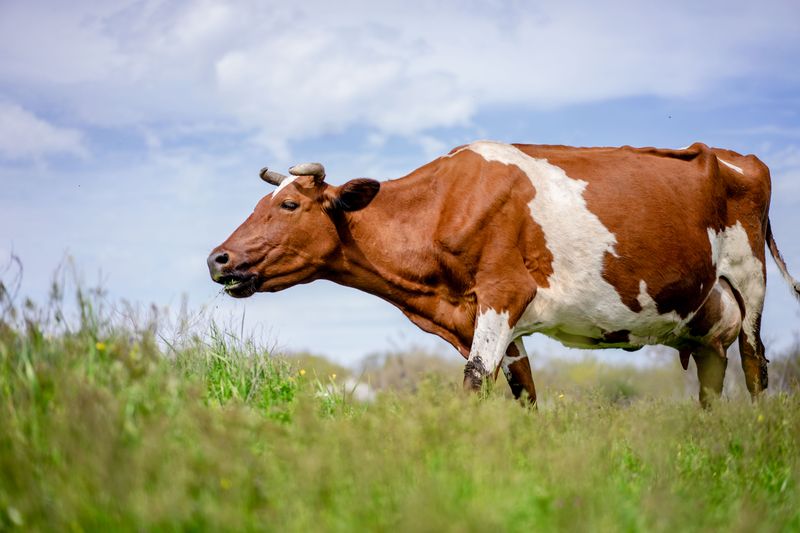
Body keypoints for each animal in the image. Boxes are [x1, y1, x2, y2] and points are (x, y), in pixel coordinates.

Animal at [208, 141, 800, 407]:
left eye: (289, 206)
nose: (218, 258)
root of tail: (730, 156)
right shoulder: (486, 316)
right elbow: (523, 389)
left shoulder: (501, 293)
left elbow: (474, 381)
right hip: (705, 318)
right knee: (711, 378)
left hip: (750, 283)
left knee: (754, 367)